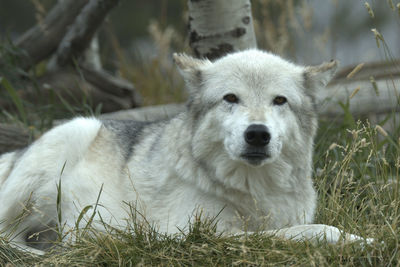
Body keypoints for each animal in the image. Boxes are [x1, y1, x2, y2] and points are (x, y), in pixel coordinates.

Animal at [0, 49, 368, 253]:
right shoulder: (198, 235)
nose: (257, 134)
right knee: (8, 239)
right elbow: (315, 230)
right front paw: (355, 240)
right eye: (231, 98)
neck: (253, 190)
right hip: (72, 138)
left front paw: (361, 241)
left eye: (280, 100)